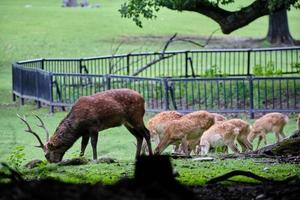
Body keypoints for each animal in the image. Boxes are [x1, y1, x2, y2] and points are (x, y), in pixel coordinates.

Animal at [17, 88, 152, 162]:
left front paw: (95, 159)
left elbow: (93, 144)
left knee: (147, 133)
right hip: (127, 123)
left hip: (136, 117)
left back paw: (150, 154)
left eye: (46, 154)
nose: (53, 163)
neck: (78, 125)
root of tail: (143, 98)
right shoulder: (85, 132)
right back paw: (136, 157)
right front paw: (80, 159)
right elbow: (83, 146)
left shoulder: (93, 126)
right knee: (138, 136)